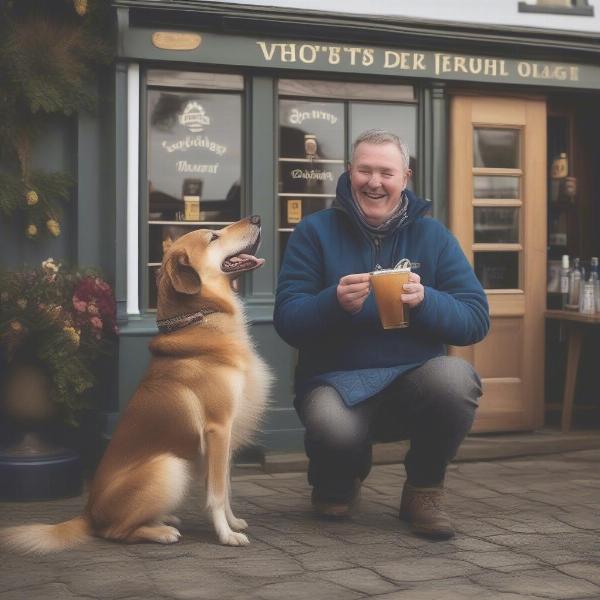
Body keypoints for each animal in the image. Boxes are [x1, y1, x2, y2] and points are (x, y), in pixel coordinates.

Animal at [1, 216, 272, 552]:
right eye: (213, 236)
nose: (257, 219)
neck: (200, 318)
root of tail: (88, 512)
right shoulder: (218, 429)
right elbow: (218, 493)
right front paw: (226, 534)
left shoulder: (224, 439)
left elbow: (225, 487)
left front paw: (232, 522)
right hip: (170, 467)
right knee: (115, 532)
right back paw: (162, 531)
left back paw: (164, 519)